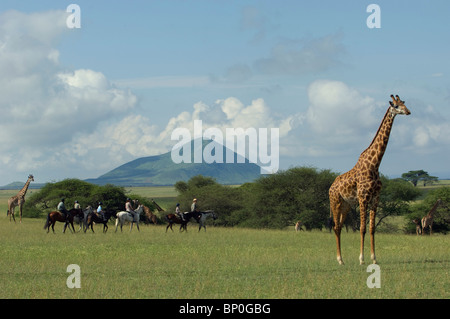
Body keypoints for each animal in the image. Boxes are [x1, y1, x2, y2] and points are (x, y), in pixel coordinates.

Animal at [328, 95, 410, 264]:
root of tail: (330, 187)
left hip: (346, 205)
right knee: (336, 227)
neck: (375, 164)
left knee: (339, 226)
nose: (408, 112)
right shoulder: (363, 198)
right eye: (396, 106)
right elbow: (362, 228)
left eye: (404, 103)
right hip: (335, 202)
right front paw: (361, 259)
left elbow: (372, 228)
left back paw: (342, 260)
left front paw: (374, 259)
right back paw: (339, 259)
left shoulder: (375, 198)